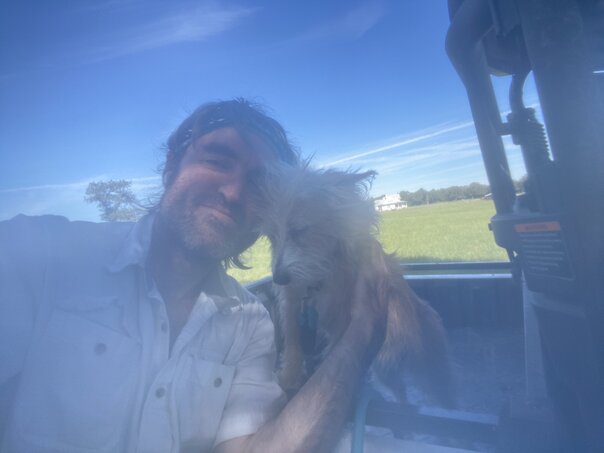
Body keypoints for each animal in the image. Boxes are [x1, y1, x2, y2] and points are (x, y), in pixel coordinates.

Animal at [254, 163, 454, 407]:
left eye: (299, 230)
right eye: (271, 237)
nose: (279, 278)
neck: (318, 275)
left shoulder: (342, 318)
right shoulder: (291, 303)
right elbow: (293, 339)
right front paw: (289, 377)